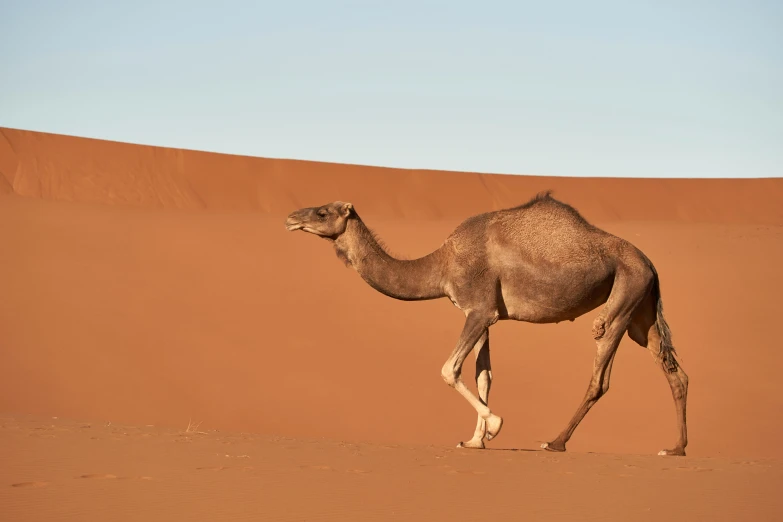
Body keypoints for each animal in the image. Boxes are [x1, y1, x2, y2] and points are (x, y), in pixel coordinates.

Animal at [284, 192, 688, 456]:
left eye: (322, 212)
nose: (290, 218)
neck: (442, 264)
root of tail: (650, 263)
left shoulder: (479, 309)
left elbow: (449, 369)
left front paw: (493, 426)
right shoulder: (481, 312)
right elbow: (483, 375)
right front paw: (475, 439)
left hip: (624, 295)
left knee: (600, 373)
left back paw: (555, 442)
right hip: (641, 308)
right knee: (673, 370)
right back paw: (676, 448)